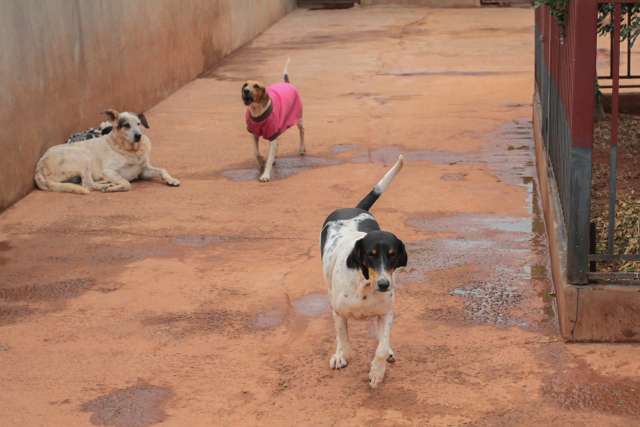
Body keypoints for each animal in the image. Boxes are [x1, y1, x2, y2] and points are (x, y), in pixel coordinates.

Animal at [34, 109, 180, 195]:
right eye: (126, 125)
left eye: (138, 123)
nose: (138, 136)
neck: (131, 150)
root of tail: (38, 168)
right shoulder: (109, 171)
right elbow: (126, 184)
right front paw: (114, 188)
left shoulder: (143, 171)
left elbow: (162, 170)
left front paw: (171, 180)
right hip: (83, 156)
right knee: (88, 184)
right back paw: (105, 185)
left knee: (84, 182)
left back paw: (106, 183)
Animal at [322, 155, 408, 390]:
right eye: (371, 254)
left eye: (393, 255)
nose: (384, 284)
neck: (365, 284)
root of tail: (352, 208)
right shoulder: (339, 312)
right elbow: (344, 340)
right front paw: (342, 355)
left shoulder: (386, 313)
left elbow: (381, 348)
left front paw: (377, 372)